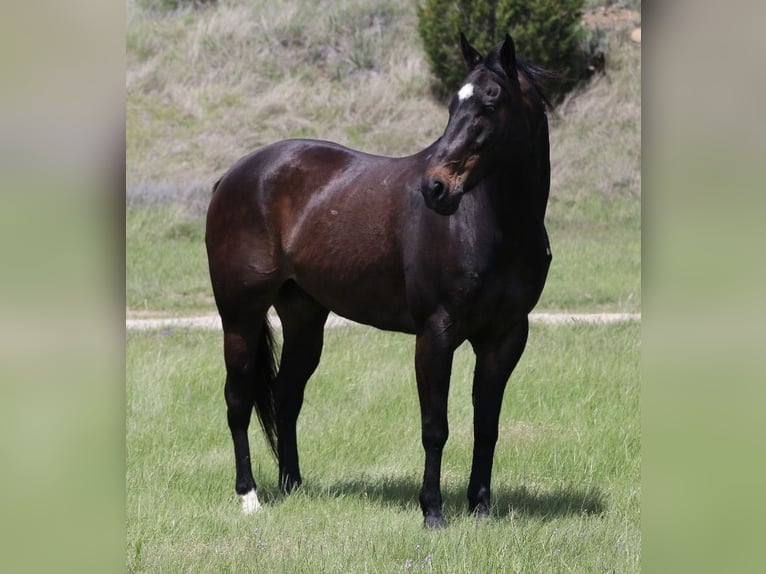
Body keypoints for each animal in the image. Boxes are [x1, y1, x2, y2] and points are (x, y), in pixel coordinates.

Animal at [205, 32, 552, 528]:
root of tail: (232, 177)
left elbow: (486, 427)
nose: (435, 188)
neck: (491, 226)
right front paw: (433, 513)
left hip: (304, 318)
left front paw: (481, 510)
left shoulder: (505, 338)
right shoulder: (436, 334)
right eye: (452, 104)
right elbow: (435, 427)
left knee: (287, 396)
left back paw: (293, 487)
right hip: (240, 316)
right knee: (238, 399)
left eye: (492, 101)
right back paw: (249, 497)